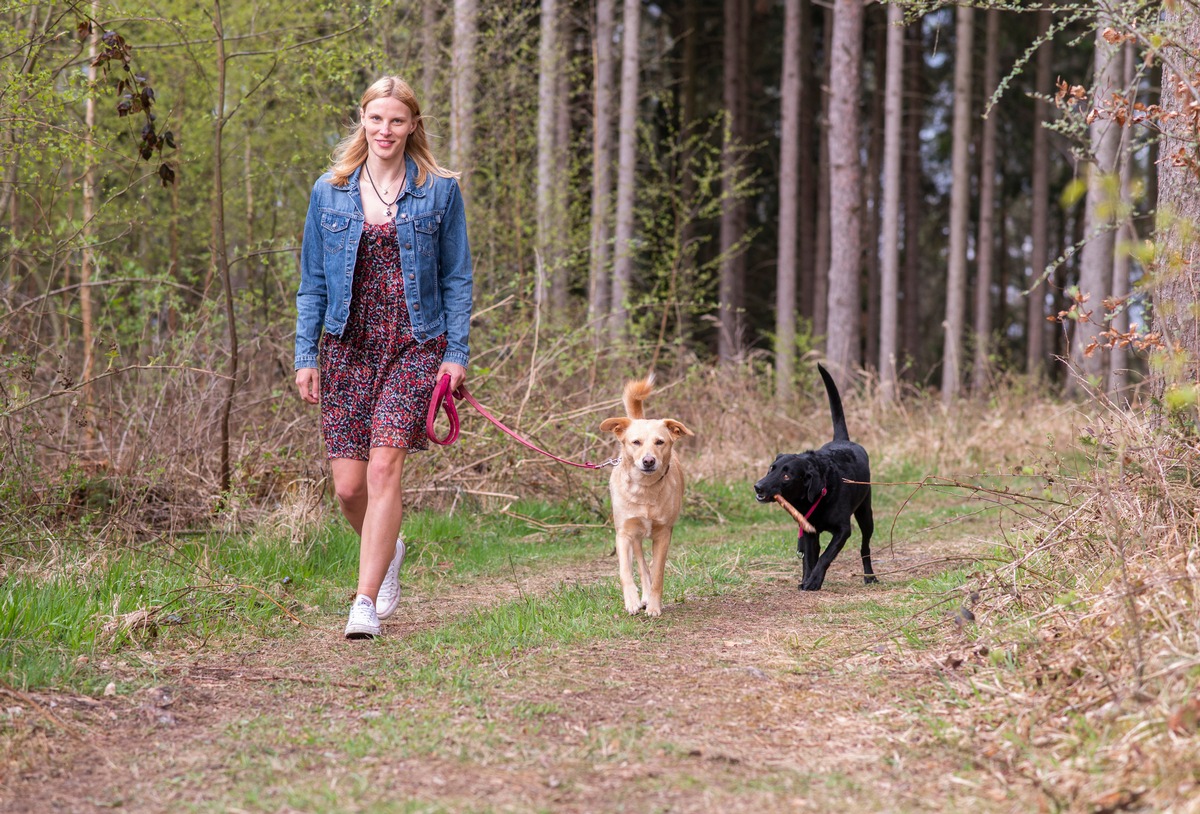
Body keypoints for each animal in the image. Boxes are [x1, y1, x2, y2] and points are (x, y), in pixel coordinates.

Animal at [600, 379, 696, 614]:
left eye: (660, 442)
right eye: (636, 442)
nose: (649, 461)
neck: (644, 489)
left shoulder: (663, 534)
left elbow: (658, 573)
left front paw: (653, 605)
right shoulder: (624, 534)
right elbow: (626, 571)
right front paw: (632, 601)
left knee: (650, 568)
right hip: (635, 536)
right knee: (642, 565)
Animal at [753, 364, 878, 593]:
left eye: (786, 475)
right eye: (771, 469)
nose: (758, 487)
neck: (819, 495)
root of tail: (843, 440)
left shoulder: (843, 530)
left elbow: (826, 556)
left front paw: (813, 581)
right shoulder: (809, 532)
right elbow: (809, 559)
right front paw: (807, 580)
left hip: (866, 513)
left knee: (865, 546)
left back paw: (870, 576)